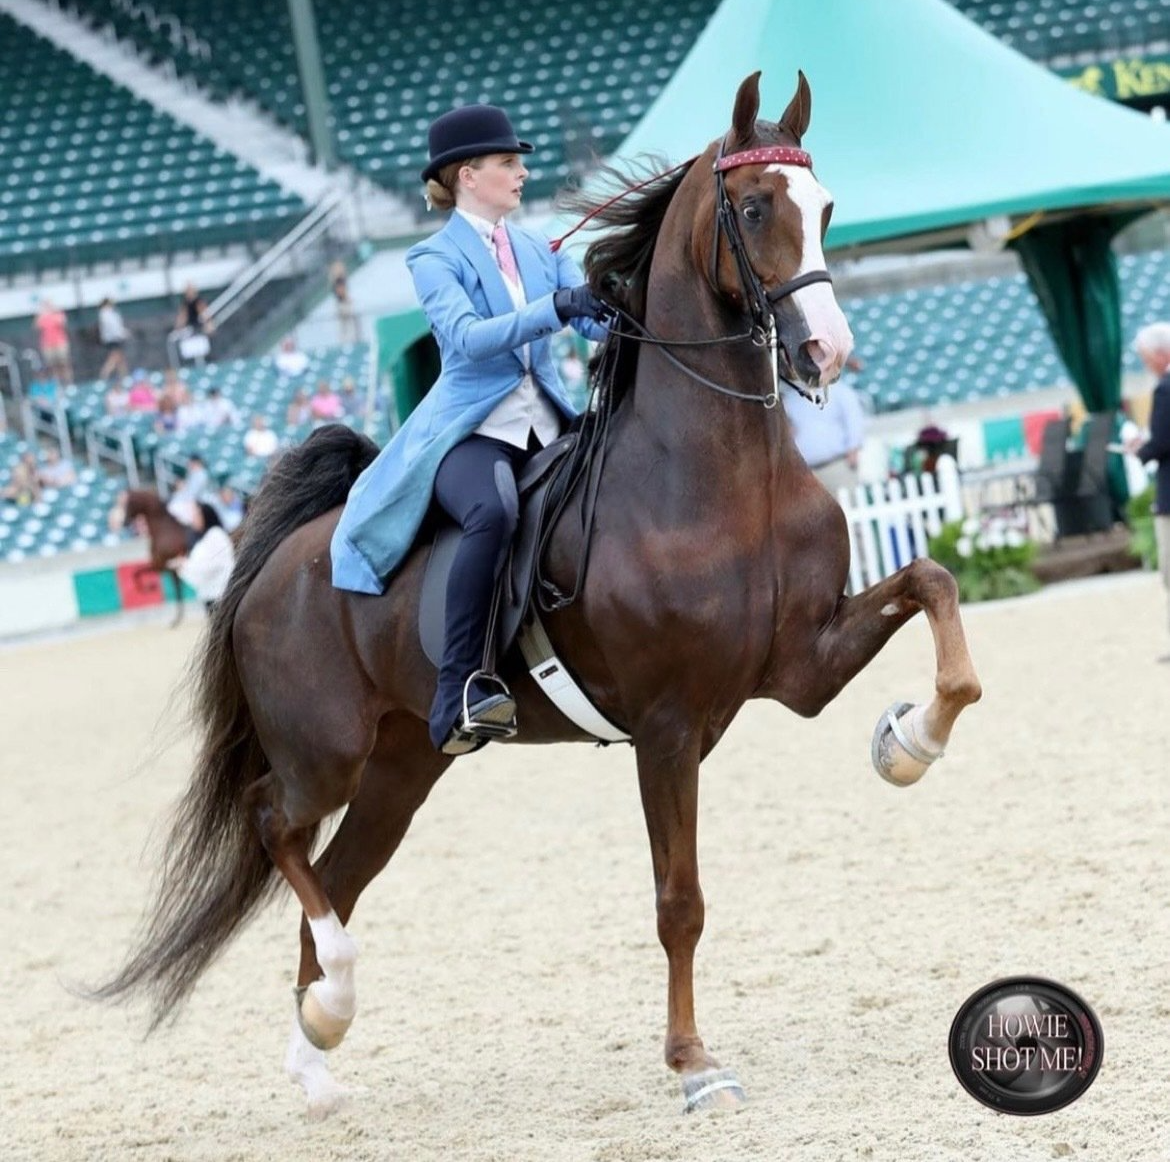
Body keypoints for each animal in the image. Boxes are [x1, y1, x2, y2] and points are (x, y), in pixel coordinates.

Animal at [108, 489, 190, 626]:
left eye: (128, 503)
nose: (124, 522)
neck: (164, 530)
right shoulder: (167, 568)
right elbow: (178, 591)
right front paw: (177, 619)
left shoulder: (162, 566)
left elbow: (137, 574)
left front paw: (151, 587)